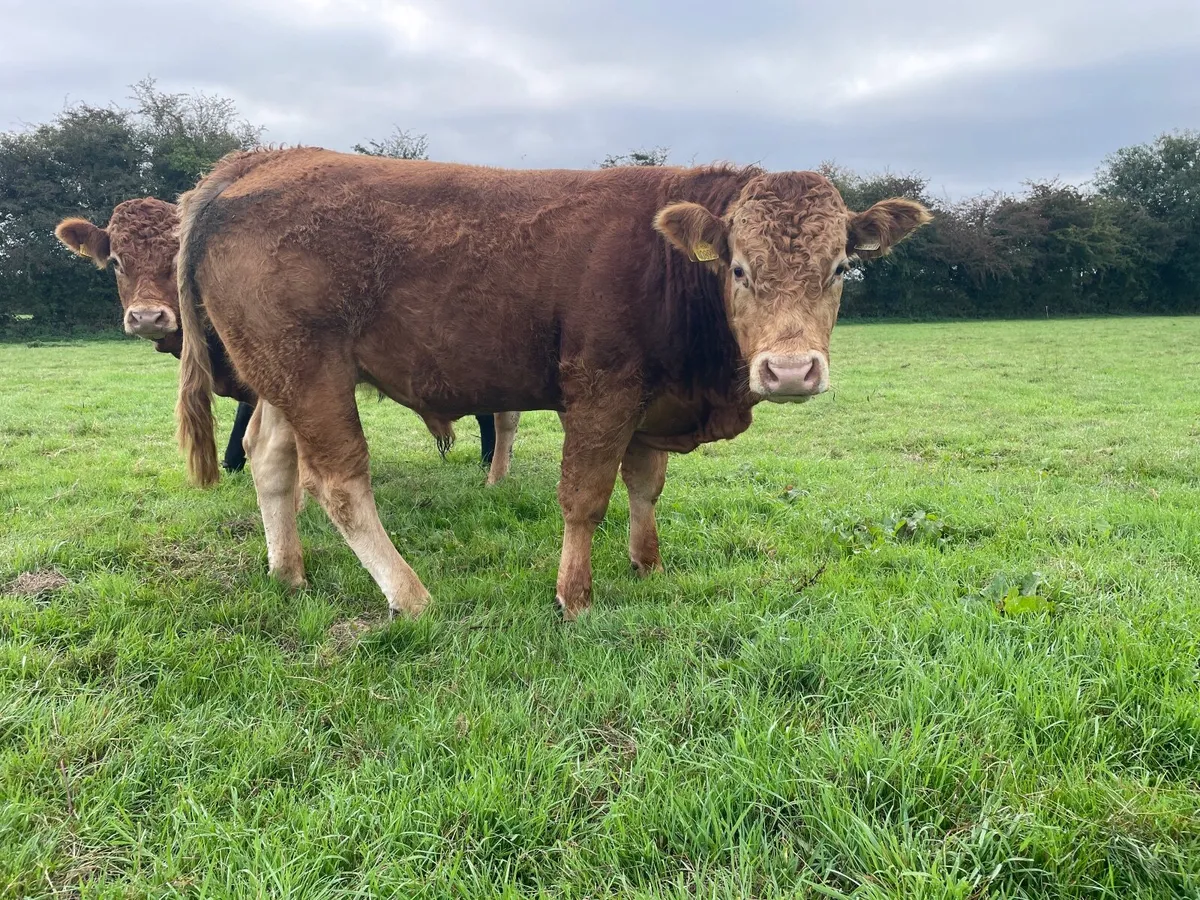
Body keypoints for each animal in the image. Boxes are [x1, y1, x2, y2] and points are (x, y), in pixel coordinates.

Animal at [173, 147, 930, 620]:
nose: (791, 370)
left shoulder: (652, 399)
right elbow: (585, 498)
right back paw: (411, 597)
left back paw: (288, 572)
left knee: (270, 459)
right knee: (338, 482)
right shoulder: (601, 390)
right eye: (738, 268)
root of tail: (257, 159)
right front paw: (575, 596)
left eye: (840, 267)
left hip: (281, 374)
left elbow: (645, 486)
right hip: (313, 372)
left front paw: (648, 565)